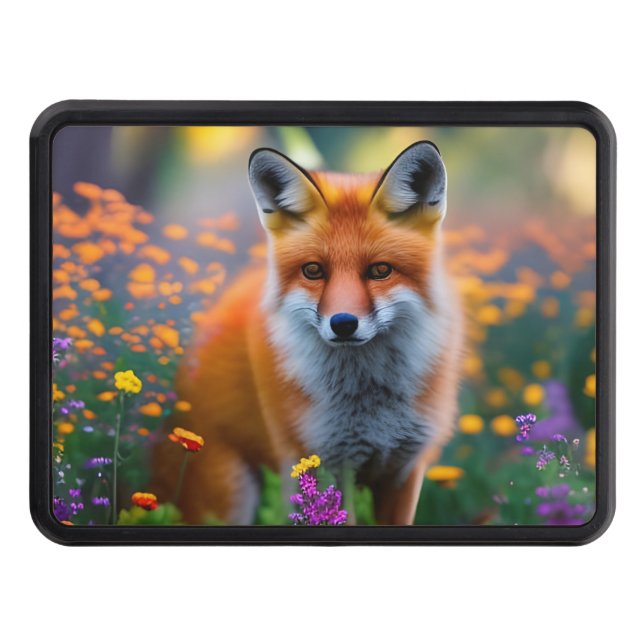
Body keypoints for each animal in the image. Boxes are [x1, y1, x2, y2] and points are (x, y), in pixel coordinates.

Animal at [151, 140, 463, 525]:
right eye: (313, 270)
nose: (343, 323)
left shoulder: (404, 469)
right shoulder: (327, 464)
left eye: (380, 270)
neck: (369, 402)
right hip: (229, 496)